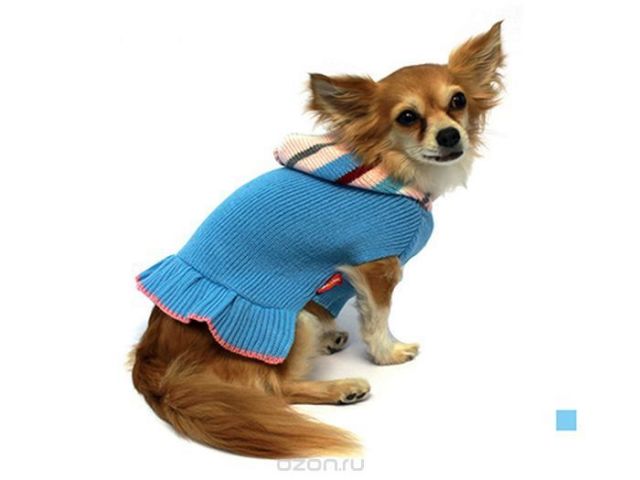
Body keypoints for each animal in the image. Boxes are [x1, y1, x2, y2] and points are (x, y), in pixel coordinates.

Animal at [132, 21, 504, 458]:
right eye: (407, 117)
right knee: (276, 389)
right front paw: (389, 353)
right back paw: (343, 388)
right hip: (292, 322)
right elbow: (378, 318)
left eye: (458, 101)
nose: (449, 135)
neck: (391, 168)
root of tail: (152, 355)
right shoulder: (375, 265)